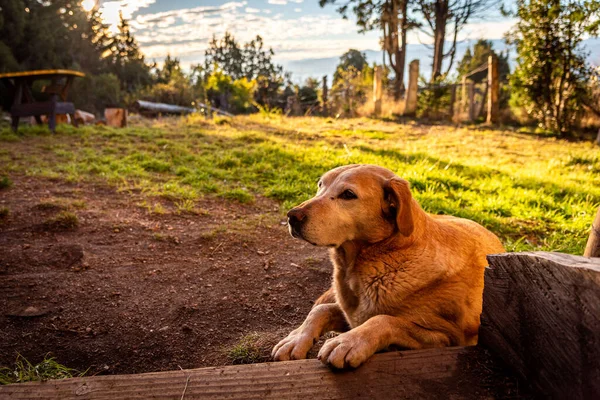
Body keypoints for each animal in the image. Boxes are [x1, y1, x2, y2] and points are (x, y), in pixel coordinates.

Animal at [274, 163, 506, 368]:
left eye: (348, 194)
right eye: (320, 185)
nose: (292, 216)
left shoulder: (446, 337)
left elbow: (385, 320)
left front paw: (348, 342)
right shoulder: (351, 313)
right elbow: (320, 310)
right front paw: (296, 338)